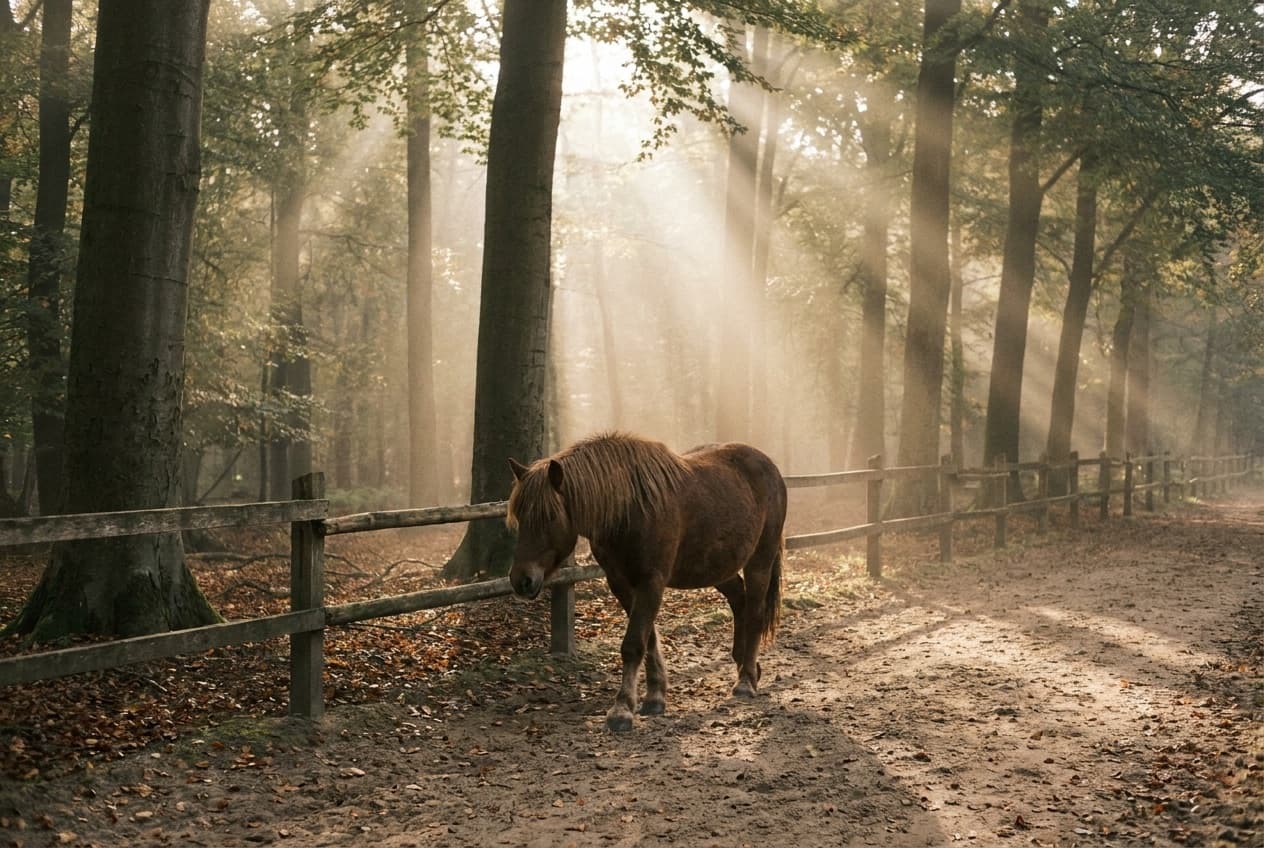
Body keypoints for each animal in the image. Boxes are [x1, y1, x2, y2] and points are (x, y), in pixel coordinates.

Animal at [506, 431, 787, 732]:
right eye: (519, 515)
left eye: (550, 516)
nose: (521, 580)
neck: (628, 508)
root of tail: (771, 468)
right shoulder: (621, 583)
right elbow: (648, 638)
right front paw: (654, 697)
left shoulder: (651, 581)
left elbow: (634, 644)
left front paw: (621, 710)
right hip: (716, 568)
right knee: (739, 600)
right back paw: (746, 667)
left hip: (760, 560)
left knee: (755, 611)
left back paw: (746, 680)